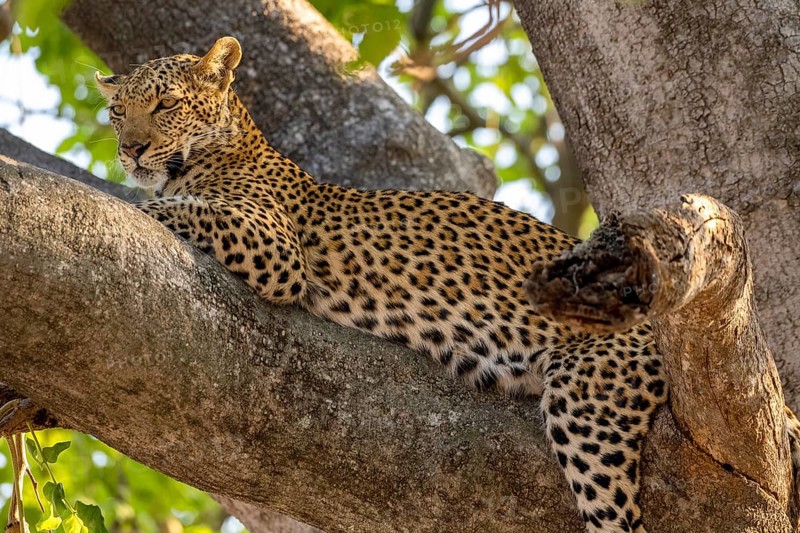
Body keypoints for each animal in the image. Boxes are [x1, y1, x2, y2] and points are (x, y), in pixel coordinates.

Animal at [96, 37, 800, 532]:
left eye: (165, 104)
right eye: (115, 112)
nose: (130, 149)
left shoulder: (273, 246)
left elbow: (173, 208)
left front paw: (126, 193)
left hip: (591, 398)